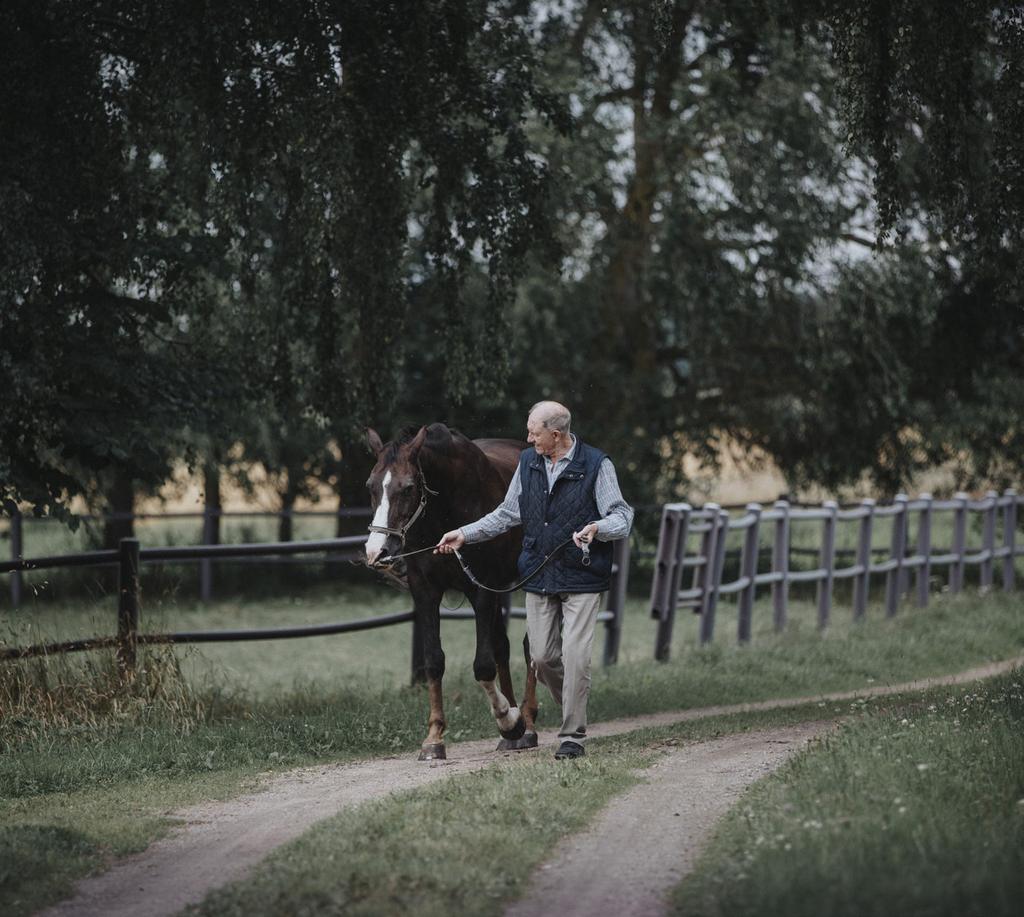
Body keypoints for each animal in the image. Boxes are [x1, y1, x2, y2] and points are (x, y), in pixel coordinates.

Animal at [364, 421, 540, 761]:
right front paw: (434, 738)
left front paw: (508, 720)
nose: (377, 551)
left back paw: (526, 721)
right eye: (371, 486)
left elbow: (482, 665)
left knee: (530, 646)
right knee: (503, 646)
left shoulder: (480, 590)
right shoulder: (426, 591)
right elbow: (434, 660)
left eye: (408, 488)